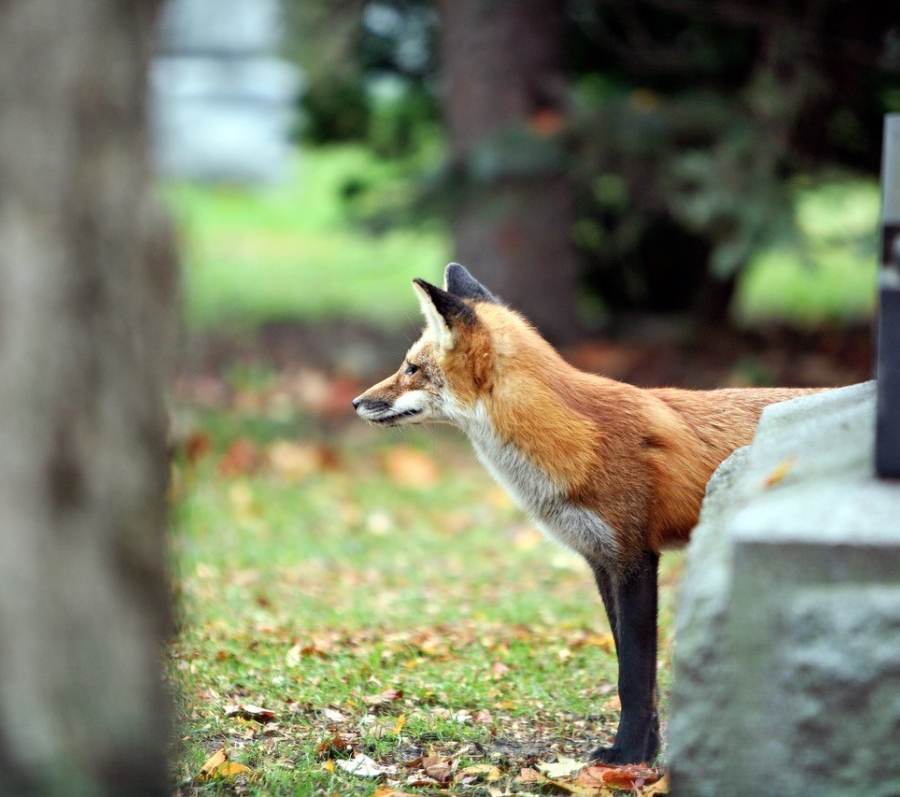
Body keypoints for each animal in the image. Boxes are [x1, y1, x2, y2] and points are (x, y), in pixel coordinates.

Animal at [352, 263, 822, 765]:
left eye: (411, 369)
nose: (355, 403)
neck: (576, 438)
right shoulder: (601, 560)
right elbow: (636, 674)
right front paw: (647, 750)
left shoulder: (635, 558)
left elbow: (633, 676)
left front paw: (627, 756)